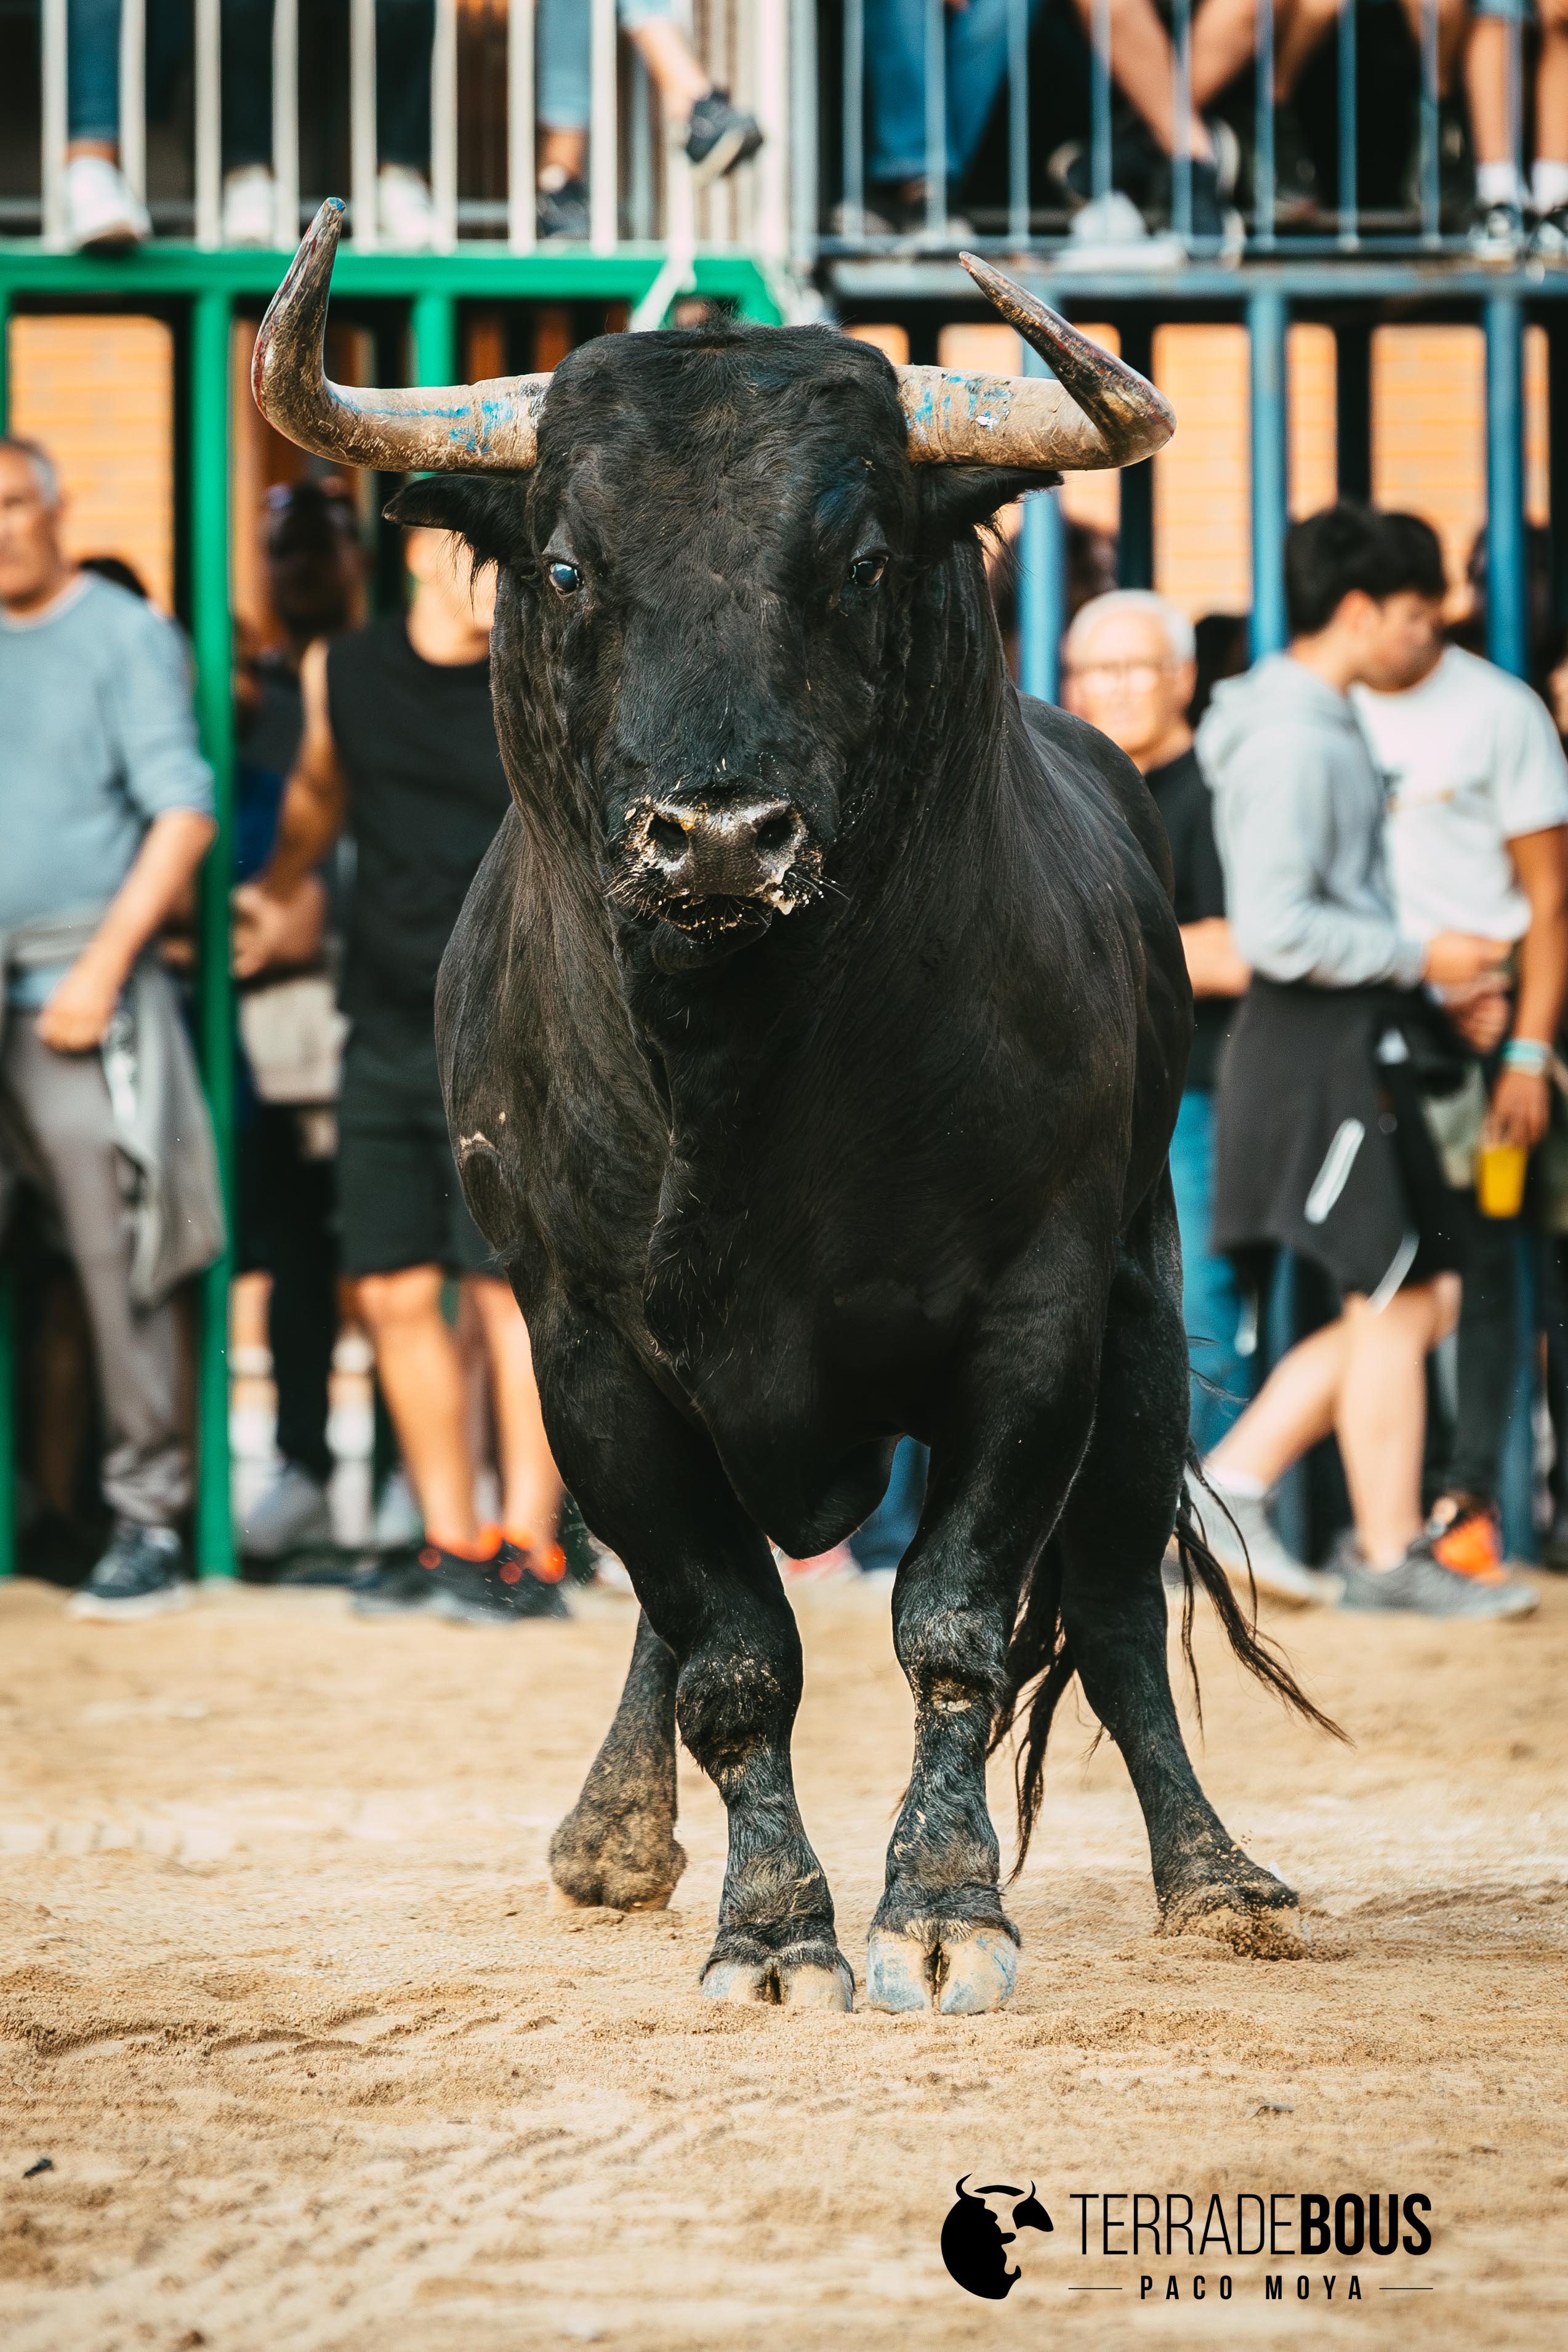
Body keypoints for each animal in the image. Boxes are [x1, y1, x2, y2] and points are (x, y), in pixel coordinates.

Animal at [255, 202, 1333, 2017]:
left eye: (862, 563)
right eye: (565, 565)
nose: (715, 837)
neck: (744, 1078)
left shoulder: (1036, 1318)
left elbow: (957, 1620)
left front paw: (945, 1908)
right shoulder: (585, 1345)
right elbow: (729, 1646)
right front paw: (767, 1928)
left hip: (1144, 1309)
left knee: (1116, 1606)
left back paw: (1217, 1875)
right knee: (674, 1616)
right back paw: (613, 1830)